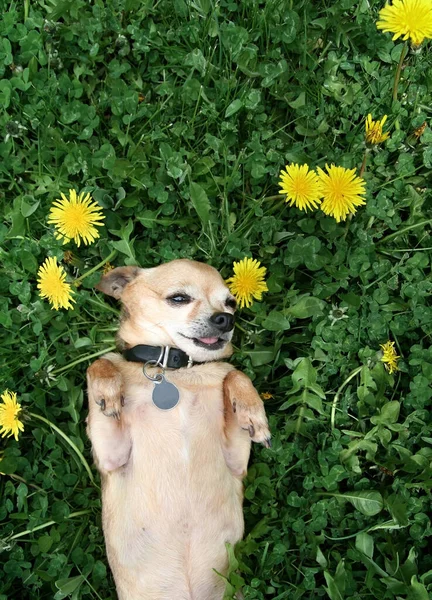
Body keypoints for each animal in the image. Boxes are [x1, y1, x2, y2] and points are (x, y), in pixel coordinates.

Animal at [86, 260, 270, 600]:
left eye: (231, 303)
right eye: (179, 298)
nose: (226, 319)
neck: (174, 371)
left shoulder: (236, 460)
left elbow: (234, 373)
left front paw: (252, 411)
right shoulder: (111, 455)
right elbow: (99, 363)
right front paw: (108, 388)